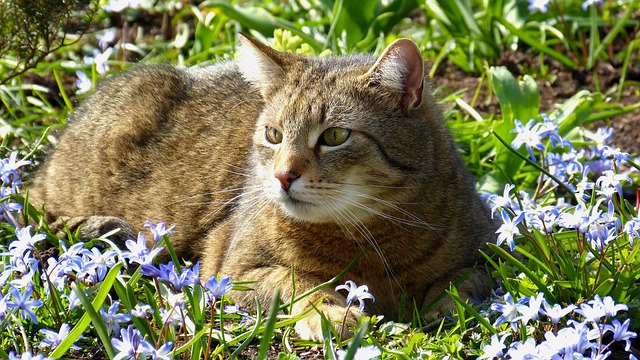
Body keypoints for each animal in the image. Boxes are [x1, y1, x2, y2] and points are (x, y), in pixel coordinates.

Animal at [28, 33, 496, 340]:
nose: (282, 175)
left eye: (335, 136)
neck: (369, 240)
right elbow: (297, 283)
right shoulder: (230, 270)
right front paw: (332, 312)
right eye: (273, 135)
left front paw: (448, 305)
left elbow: (466, 280)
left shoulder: (485, 250)